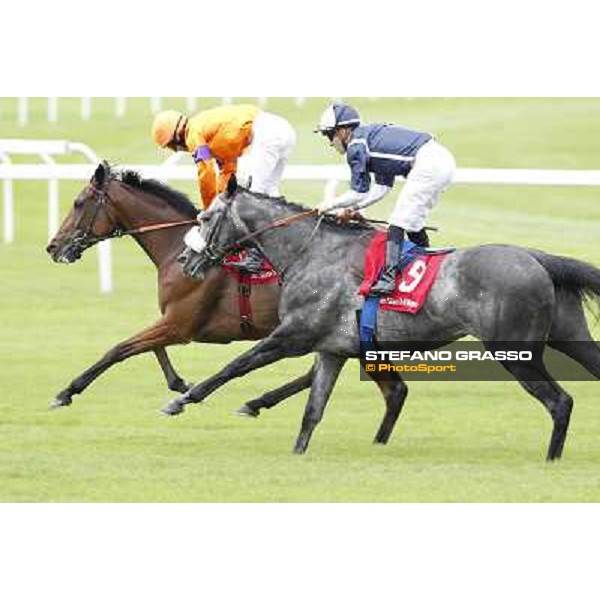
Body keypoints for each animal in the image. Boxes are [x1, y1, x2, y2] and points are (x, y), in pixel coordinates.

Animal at [45, 162, 404, 442]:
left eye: (78, 202)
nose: (53, 246)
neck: (178, 248)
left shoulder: (180, 324)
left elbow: (119, 349)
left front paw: (66, 392)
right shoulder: (174, 320)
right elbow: (149, 347)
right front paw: (180, 383)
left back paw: (256, 402)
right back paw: (256, 403)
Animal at [162, 188, 600, 460]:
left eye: (205, 216)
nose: (185, 260)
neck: (312, 253)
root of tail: (538, 258)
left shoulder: (294, 335)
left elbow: (235, 365)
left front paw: (182, 400)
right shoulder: (332, 349)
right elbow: (313, 410)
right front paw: (297, 452)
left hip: (515, 351)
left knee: (559, 401)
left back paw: (551, 459)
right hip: (571, 335)